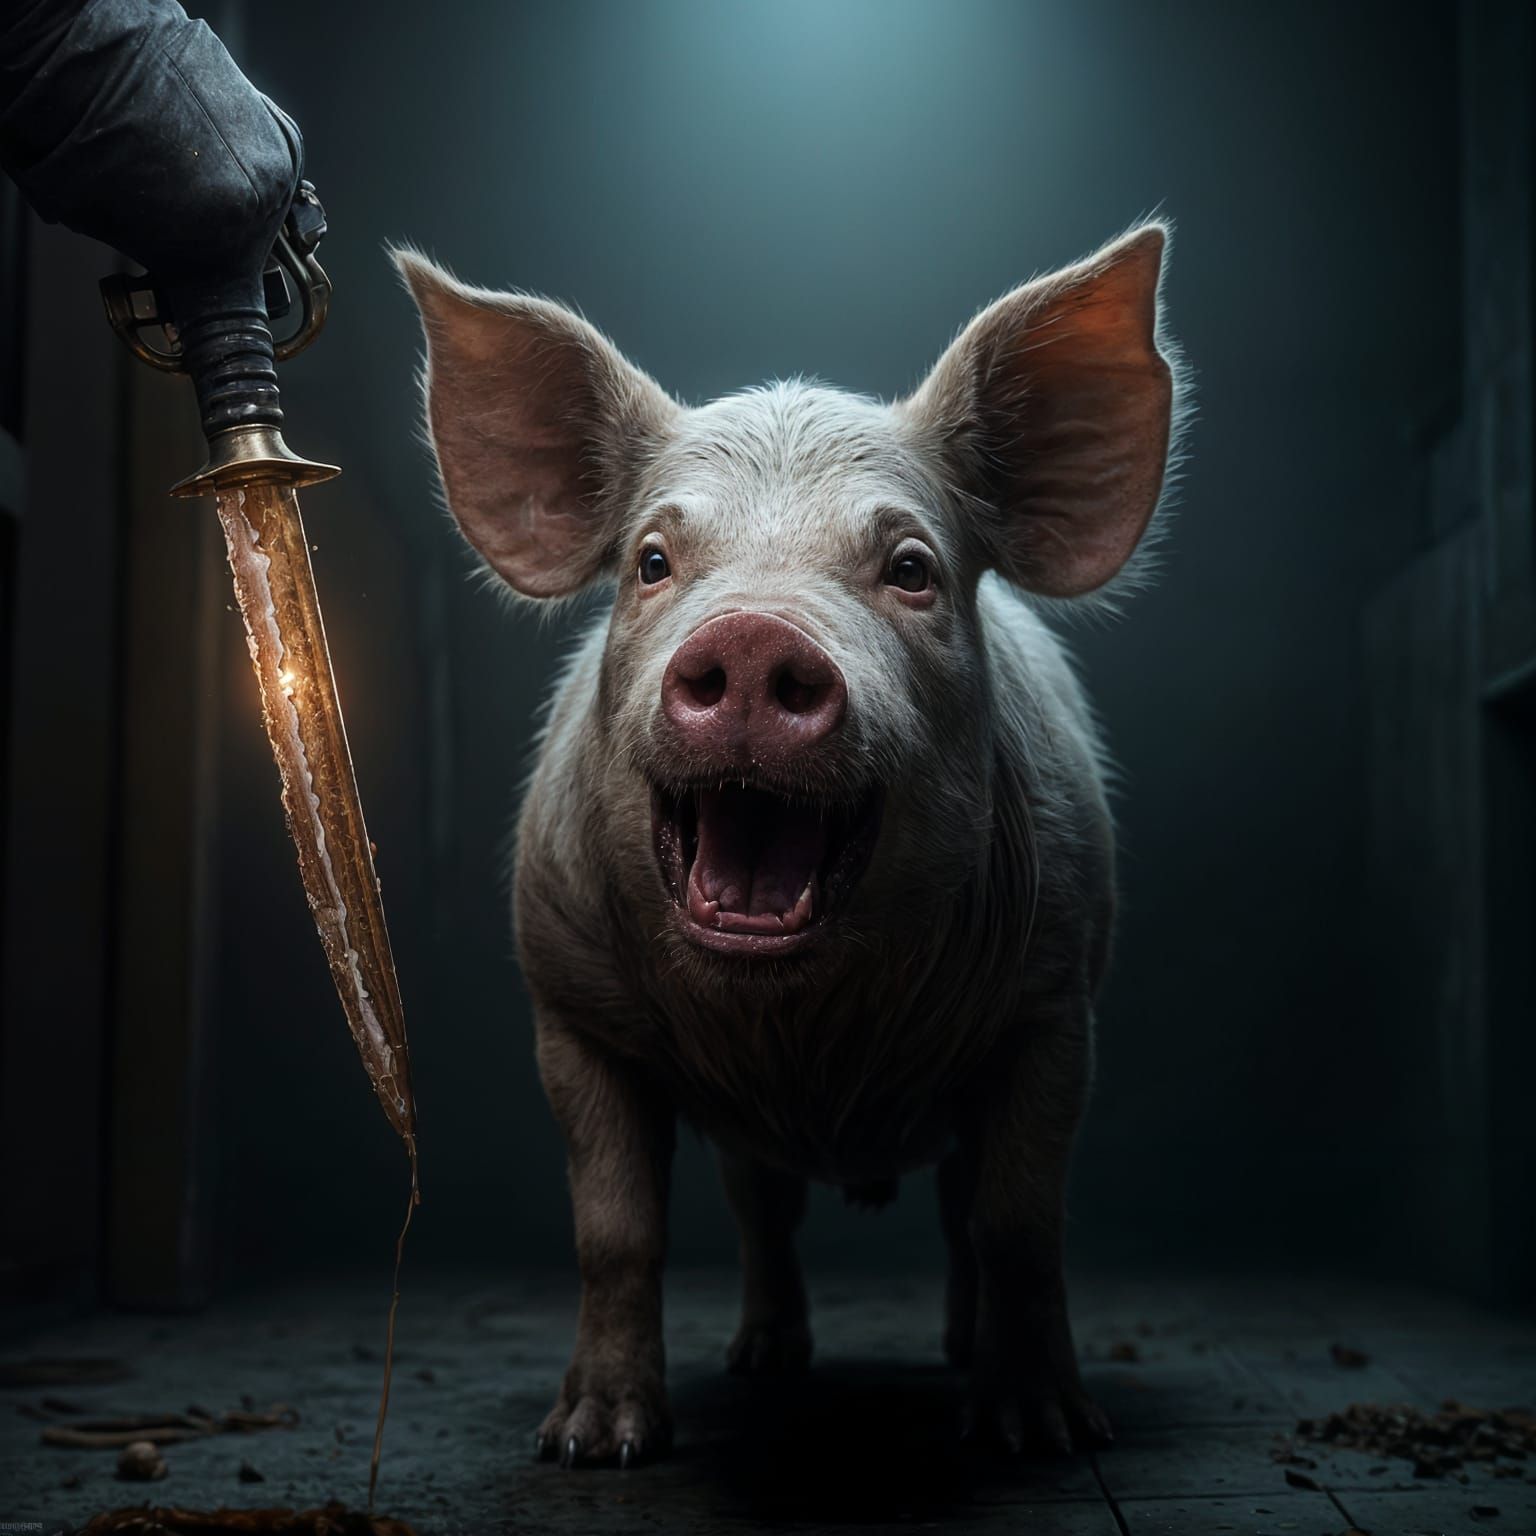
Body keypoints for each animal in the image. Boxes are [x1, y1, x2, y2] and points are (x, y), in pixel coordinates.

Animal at [396, 222, 1182, 1469]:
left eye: (911, 569)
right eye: (653, 562)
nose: (758, 637)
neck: (807, 1046)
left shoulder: (1053, 1006)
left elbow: (1019, 1222)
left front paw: (1043, 1433)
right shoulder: (569, 1011)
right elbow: (615, 1229)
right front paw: (592, 1444)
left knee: (957, 1214)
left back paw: (955, 1359)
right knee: (763, 1212)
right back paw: (763, 1362)